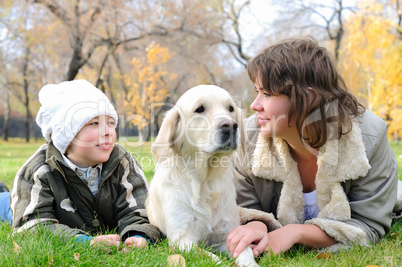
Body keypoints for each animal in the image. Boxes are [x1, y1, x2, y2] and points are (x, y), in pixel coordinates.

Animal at [146, 86, 282, 267]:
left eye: (230, 108)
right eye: (200, 109)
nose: (230, 126)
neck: (204, 183)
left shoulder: (228, 234)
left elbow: (245, 254)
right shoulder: (182, 240)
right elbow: (212, 258)